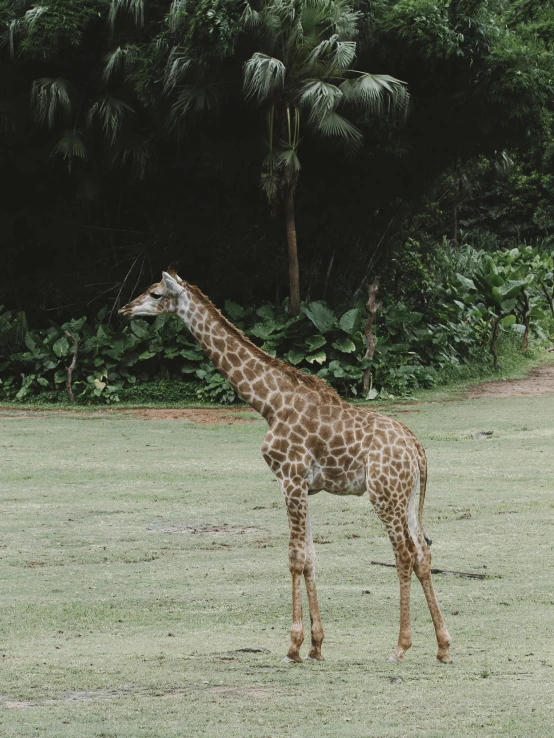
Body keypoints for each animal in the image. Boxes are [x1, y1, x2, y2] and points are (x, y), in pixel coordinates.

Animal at [119, 270, 448, 660]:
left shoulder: (290, 478)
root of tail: (417, 449)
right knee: (424, 553)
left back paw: (400, 646)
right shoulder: (300, 486)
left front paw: (293, 645)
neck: (270, 404)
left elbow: (294, 557)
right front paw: (317, 646)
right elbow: (311, 557)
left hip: (383, 494)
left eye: (155, 293)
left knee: (404, 554)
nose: (125, 309)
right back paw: (443, 645)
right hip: (407, 497)